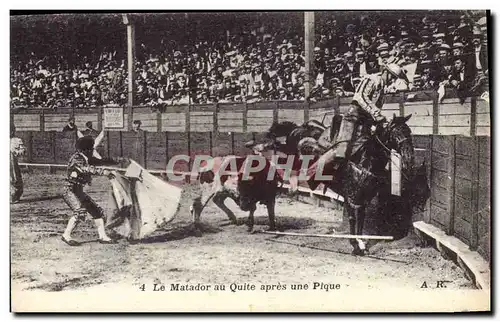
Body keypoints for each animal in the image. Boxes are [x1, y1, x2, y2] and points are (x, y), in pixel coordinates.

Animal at [262, 114, 430, 255]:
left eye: (409, 132)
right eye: (396, 133)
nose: (409, 157)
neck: (366, 158)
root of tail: (299, 127)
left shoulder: (363, 198)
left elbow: (360, 219)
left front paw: (361, 245)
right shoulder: (351, 196)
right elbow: (352, 218)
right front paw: (355, 245)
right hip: (292, 152)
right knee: (282, 154)